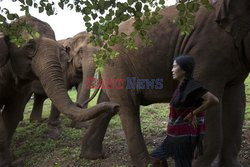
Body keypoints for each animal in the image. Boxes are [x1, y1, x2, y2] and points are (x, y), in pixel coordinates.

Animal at [0, 16, 118, 166]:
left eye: (100, 53)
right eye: (81, 52)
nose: (116, 107)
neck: (71, 38)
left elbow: (82, 86)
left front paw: (81, 126)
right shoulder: (62, 65)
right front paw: (55, 130)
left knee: (38, 98)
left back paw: (36, 121)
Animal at [79, 0, 250, 167]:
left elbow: (236, 102)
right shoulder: (207, 52)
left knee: (109, 104)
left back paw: (92, 155)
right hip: (117, 63)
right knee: (128, 105)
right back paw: (146, 163)